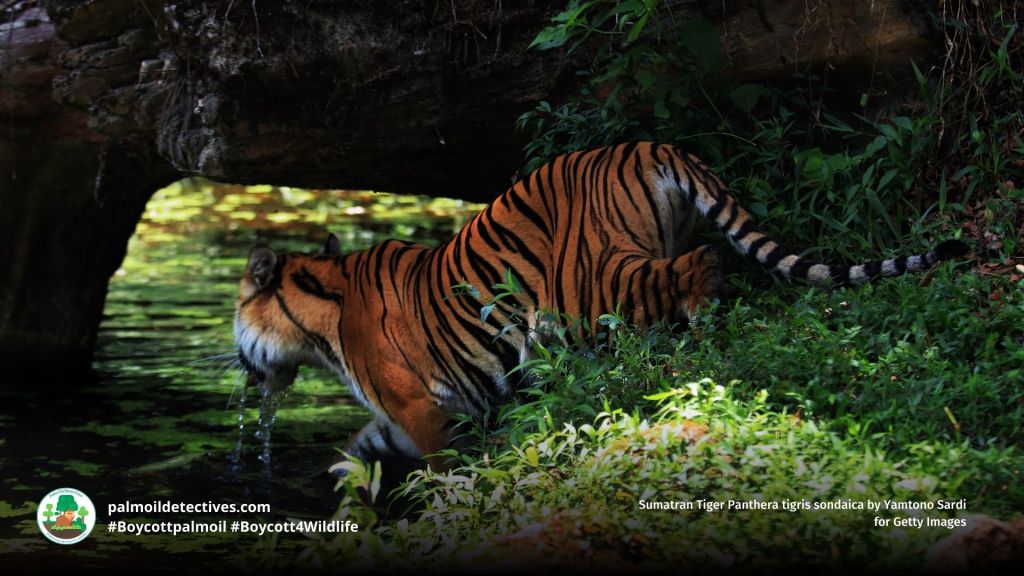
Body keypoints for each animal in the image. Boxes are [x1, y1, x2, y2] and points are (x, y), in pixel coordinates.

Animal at [234, 141, 967, 473]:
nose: (238, 363)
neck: (321, 321)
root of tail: (651, 145)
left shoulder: (420, 407)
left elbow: (438, 468)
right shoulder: (399, 419)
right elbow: (354, 458)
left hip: (591, 286)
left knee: (701, 267)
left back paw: (701, 329)